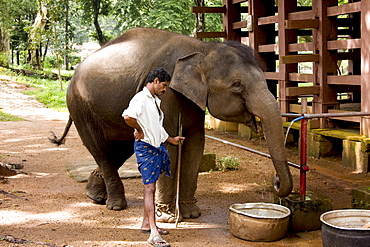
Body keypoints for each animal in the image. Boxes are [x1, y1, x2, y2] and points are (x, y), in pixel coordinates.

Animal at [52, 27, 294, 222]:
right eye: (237, 85)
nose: (275, 181)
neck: (203, 48)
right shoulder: (167, 95)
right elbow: (168, 144)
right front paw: (167, 217)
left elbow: (196, 146)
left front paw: (192, 214)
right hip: (81, 107)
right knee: (102, 150)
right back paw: (116, 205)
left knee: (119, 150)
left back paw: (95, 196)